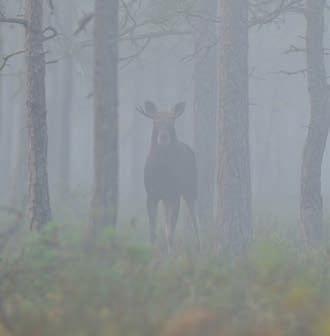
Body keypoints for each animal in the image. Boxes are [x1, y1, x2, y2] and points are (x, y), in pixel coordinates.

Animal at [137, 101, 200, 251]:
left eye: (172, 122)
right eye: (155, 121)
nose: (163, 137)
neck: (162, 172)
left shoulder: (174, 194)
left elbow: (170, 233)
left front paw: (171, 254)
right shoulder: (151, 194)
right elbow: (153, 232)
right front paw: (151, 251)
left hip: (190, 189)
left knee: (195, 219)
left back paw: (200, 245)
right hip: (166, 198)